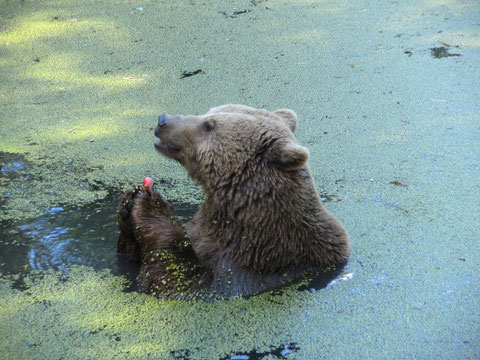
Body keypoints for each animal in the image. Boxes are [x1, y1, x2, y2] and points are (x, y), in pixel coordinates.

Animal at [116, 105, 348, 298]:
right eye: (208, 111)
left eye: (208, 125)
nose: (163, 120)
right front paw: (128, 204)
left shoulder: (249, 269)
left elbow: (179, 280)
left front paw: (151, 205)